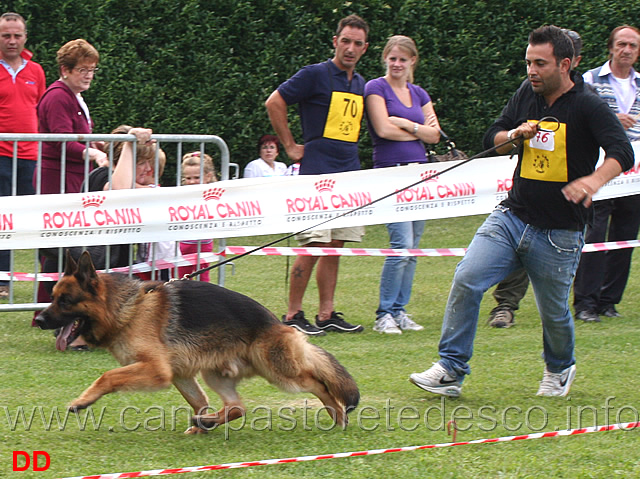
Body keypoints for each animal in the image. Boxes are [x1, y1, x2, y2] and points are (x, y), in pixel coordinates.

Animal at [35, 253, 360, 434]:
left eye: (65, 301)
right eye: (53, 297)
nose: (38, 319)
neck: (128, 309)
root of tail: (278, 323)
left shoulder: (157, 370)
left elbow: (108, 376)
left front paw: (82, 401)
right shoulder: (180, 374)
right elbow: (199, 402)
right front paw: (204, 421)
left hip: (280, 372)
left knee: (318, 383)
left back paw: (338, 415)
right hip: (215, 373)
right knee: (237, 407)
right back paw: (208, 423)